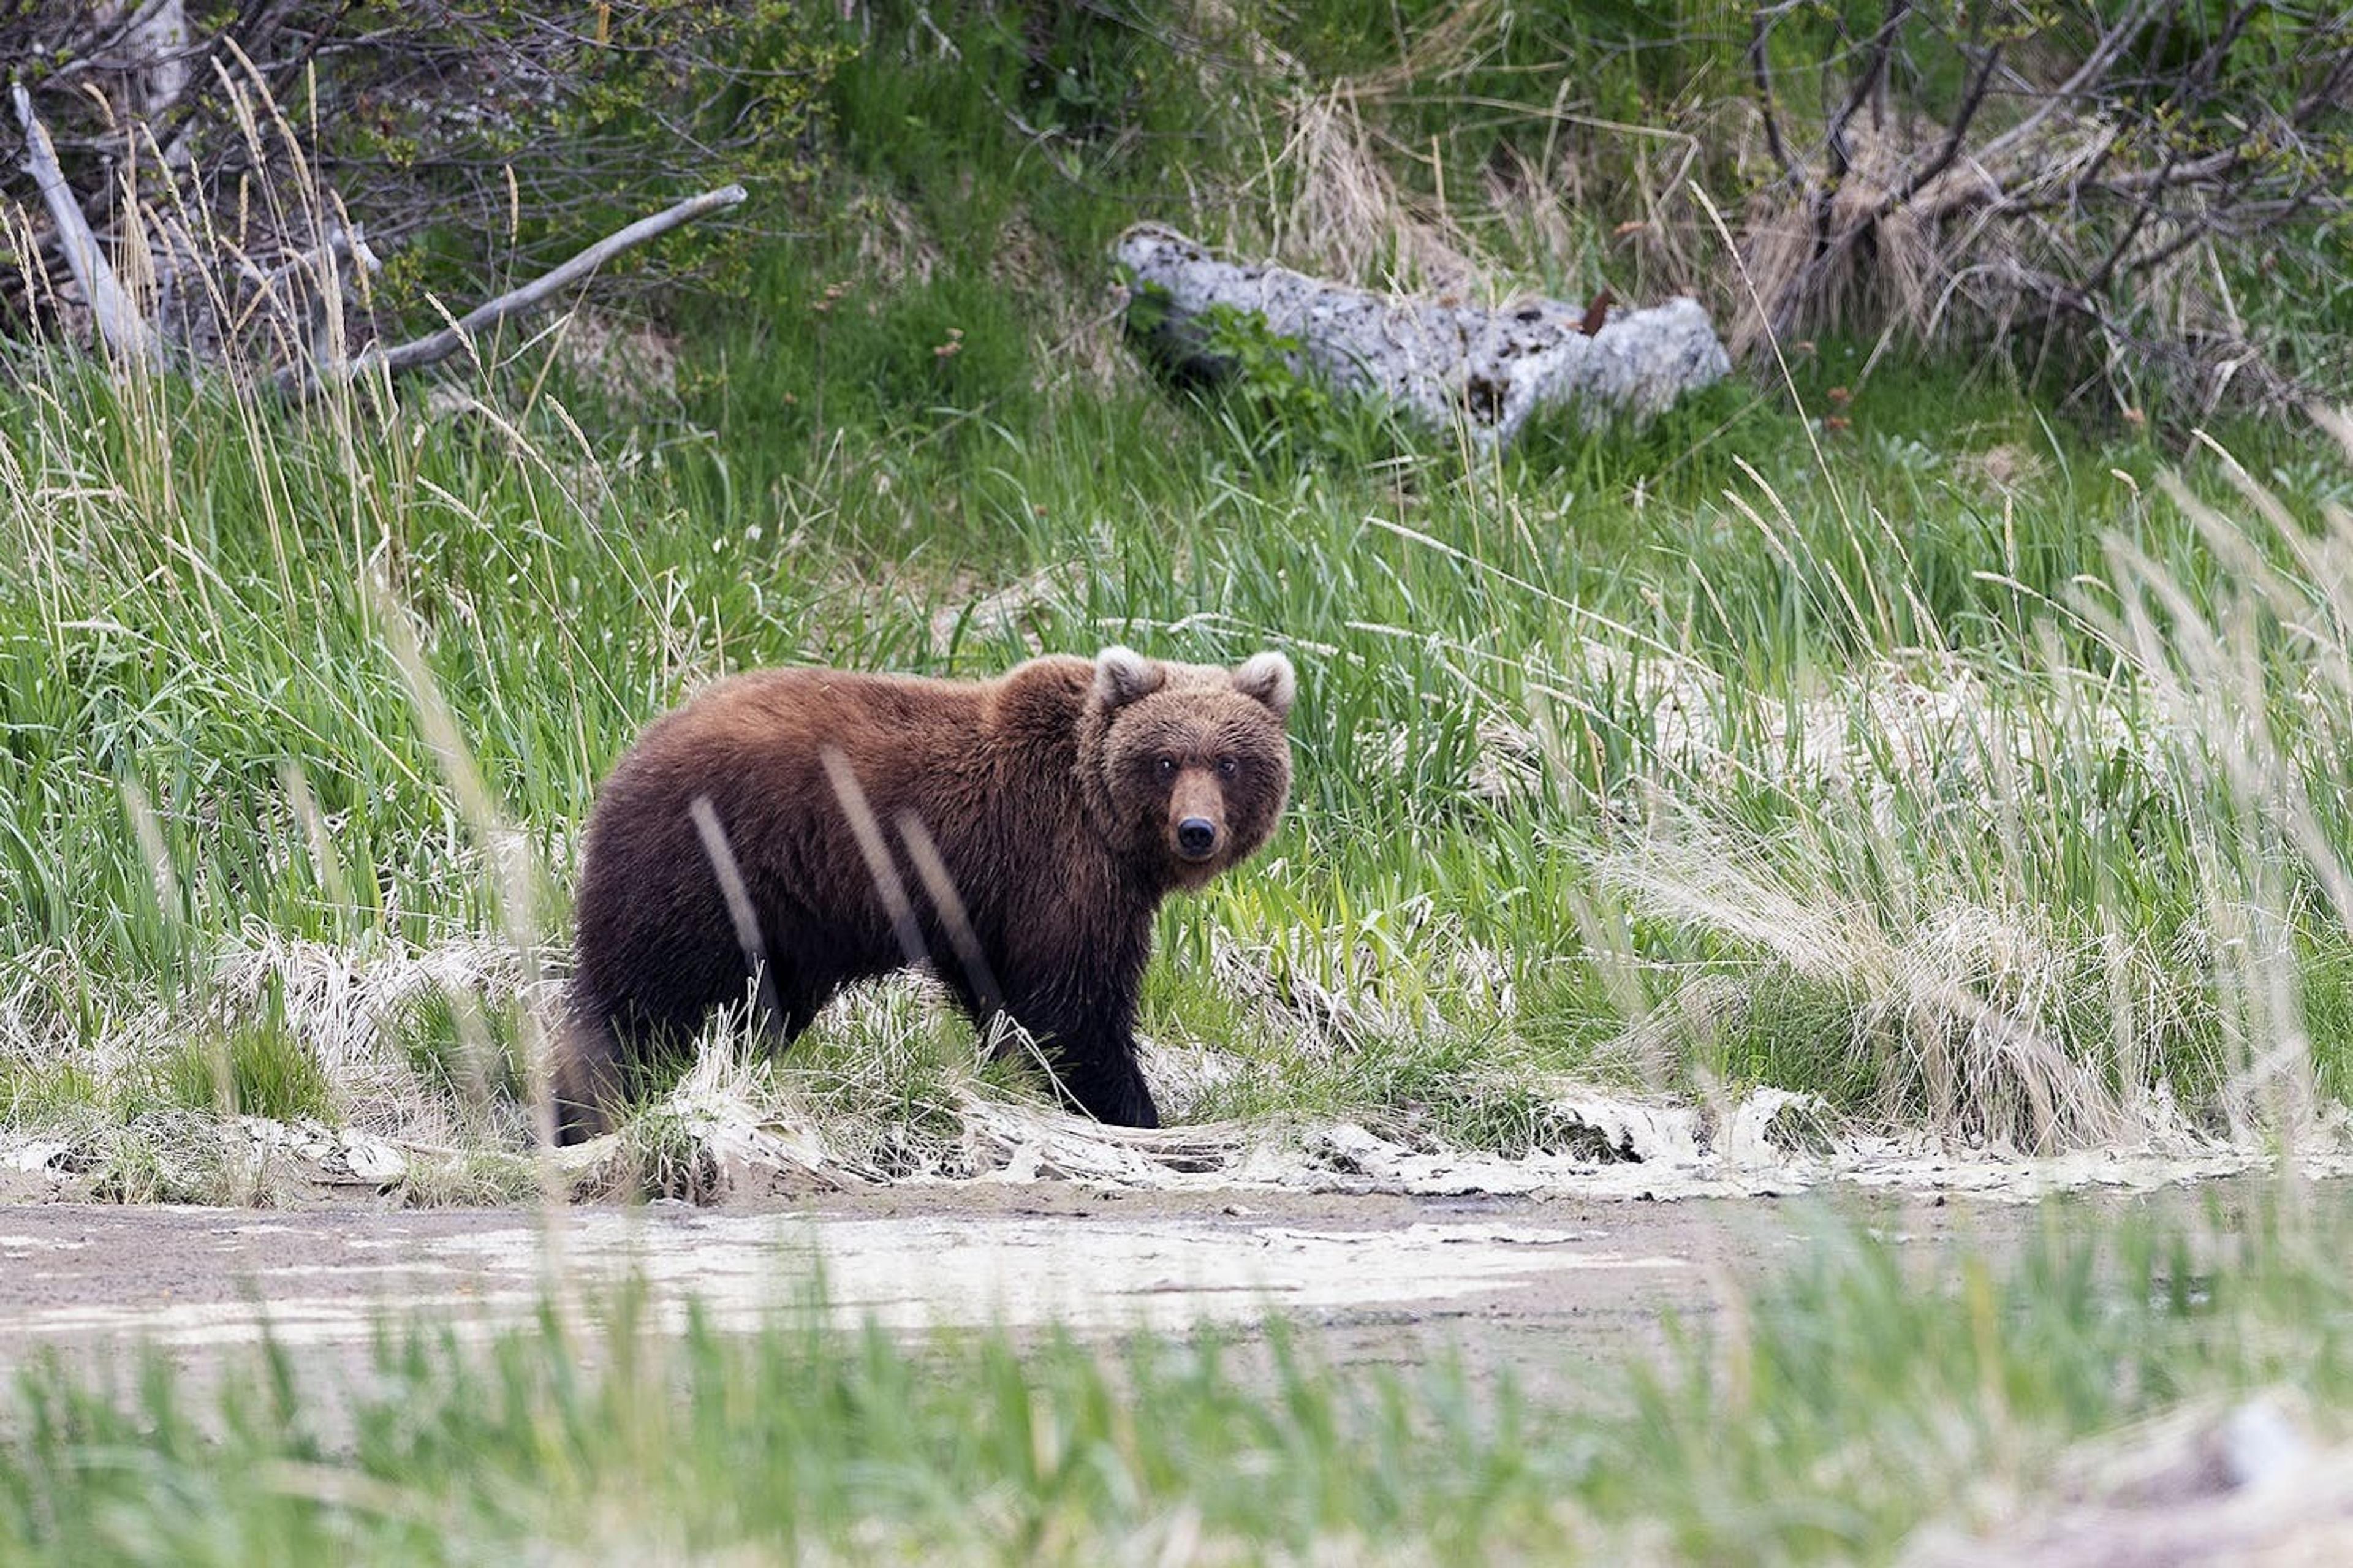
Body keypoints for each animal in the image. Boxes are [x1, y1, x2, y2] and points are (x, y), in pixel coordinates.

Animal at [551, 645, 1296, 1144]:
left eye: (1229, 761)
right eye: (1166, 760)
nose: (1197, 831)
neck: (1101, 814)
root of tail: (635, 751)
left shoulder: (993, 902)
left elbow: (1005, 997)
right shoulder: (1057, 865)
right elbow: (1074, 1003)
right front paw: (1134, 1110)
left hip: (788, 917)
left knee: (758, 1004)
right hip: (704, 865)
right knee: (640, 996)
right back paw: (585, 1111)